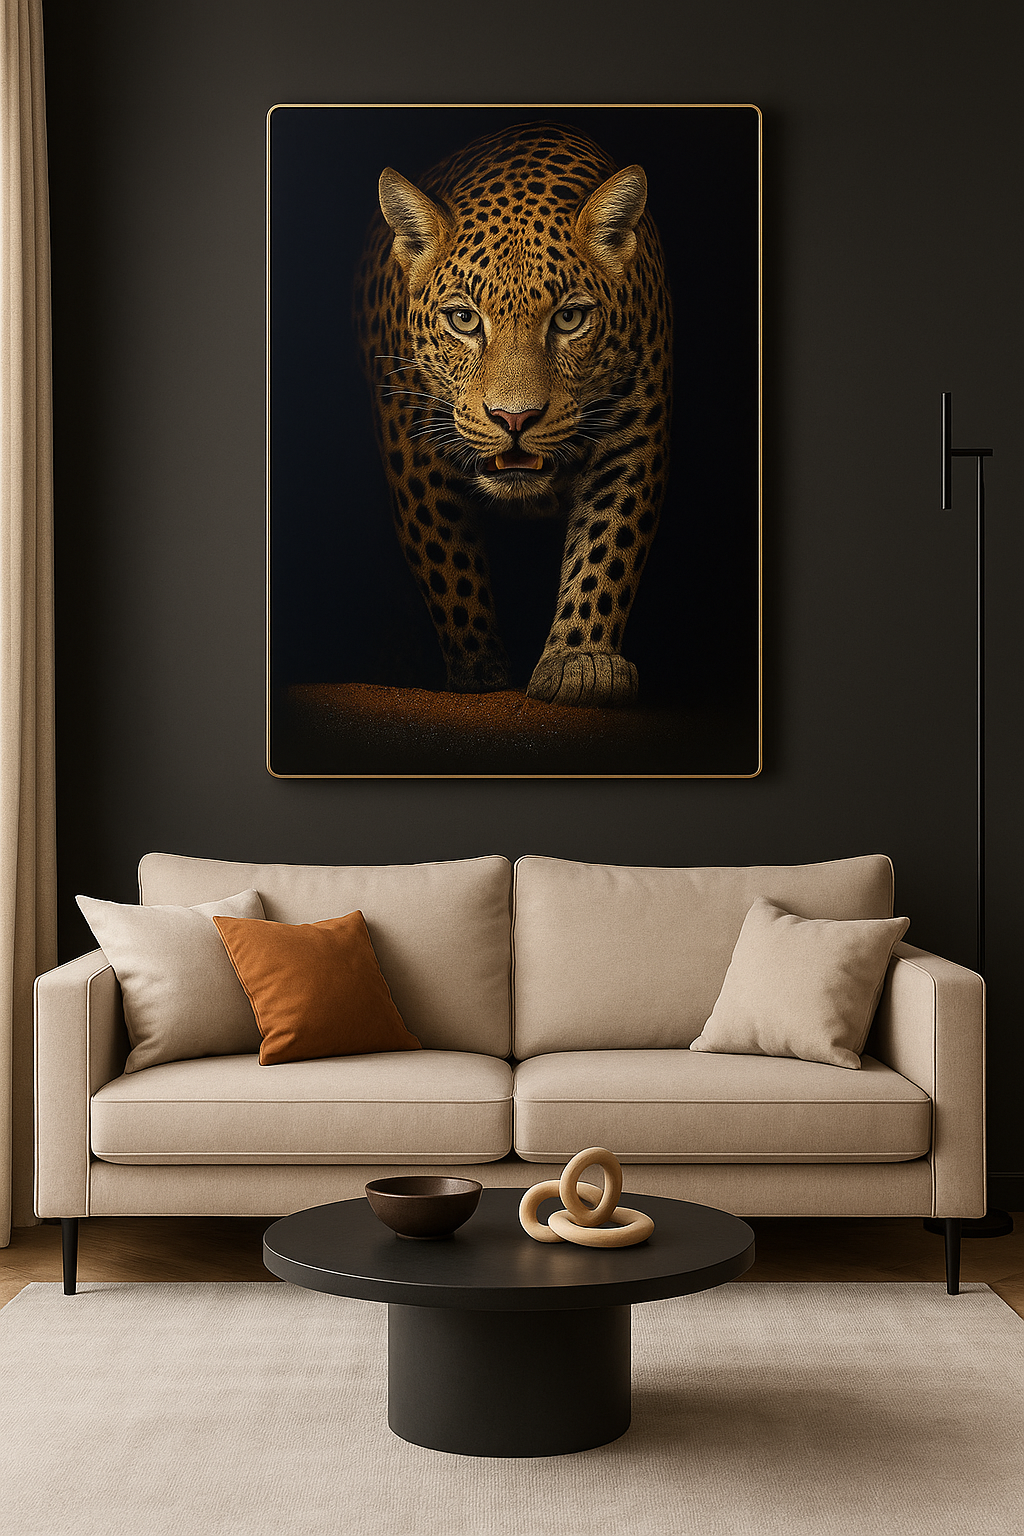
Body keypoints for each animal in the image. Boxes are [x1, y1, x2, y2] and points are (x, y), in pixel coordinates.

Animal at [353, 120, 672, 708]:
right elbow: (447, 561)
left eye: (569, 318)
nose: (514, 419)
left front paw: (581, 663)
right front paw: (481, 674)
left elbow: (609, 542)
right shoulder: (413, 445)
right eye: (463, 320)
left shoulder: (634, 432)